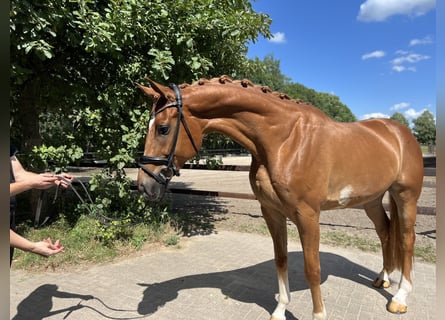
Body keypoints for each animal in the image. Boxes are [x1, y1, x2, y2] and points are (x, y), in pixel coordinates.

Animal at [135, 75, 424, 320]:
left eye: (163, 128)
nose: (145, 185)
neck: (284, 141)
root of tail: (400, 133)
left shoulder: (308, 216)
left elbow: (312, 269)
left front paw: (318, 315)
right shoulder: (271, 211)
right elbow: (281, 260)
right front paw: (280, 310)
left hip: (406, 196)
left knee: (406, 239)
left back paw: (399, 298)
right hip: (371, 200)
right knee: (385, 232)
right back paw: (382, 278)